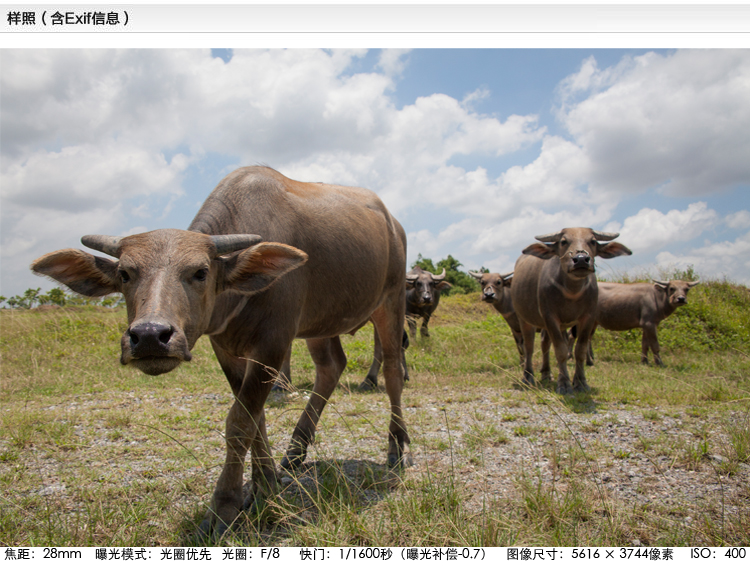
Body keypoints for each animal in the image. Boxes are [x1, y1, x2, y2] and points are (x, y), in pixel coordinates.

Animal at [30, 166, 412, 540]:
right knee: (331, 366)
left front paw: (224, 507)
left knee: (393, 369)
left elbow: (240, 422)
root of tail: (394, 224)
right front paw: (264, 487)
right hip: (321, 321)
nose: (151, 336)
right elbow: (255, 418)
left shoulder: (273, 343)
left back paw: (396, 446)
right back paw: (295, 451)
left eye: (200, 272)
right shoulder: (227, 349)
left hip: (391, 300)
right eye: (125, 273)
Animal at [516, 229, 632, 398]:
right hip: (525, 319)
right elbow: (561, 351)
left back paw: (546, 374)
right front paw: (564, 384)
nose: (581, 259)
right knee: (529, 346)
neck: (572, 291)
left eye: (592, 241)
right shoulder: (550, 317)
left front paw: (580, 383)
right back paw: (528, 376)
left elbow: (580, 350)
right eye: (563, 241)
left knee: (545, 344)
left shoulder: (588, 318)